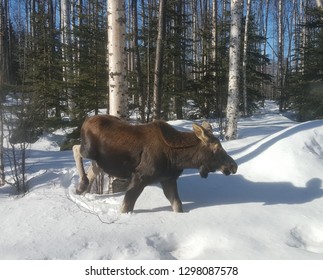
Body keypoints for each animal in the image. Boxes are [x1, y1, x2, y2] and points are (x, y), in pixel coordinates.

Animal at [74, 115, 239, 213]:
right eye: (216, 147)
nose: (233, 166)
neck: (177, 158)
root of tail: (85, 121)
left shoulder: (168, 179)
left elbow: (177, 205)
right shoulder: (140, 177)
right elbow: (126, 205)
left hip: (100, 160)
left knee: (92, 169)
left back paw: (82, 190)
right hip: (88, 150)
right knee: (76, 148)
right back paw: (82, 184)